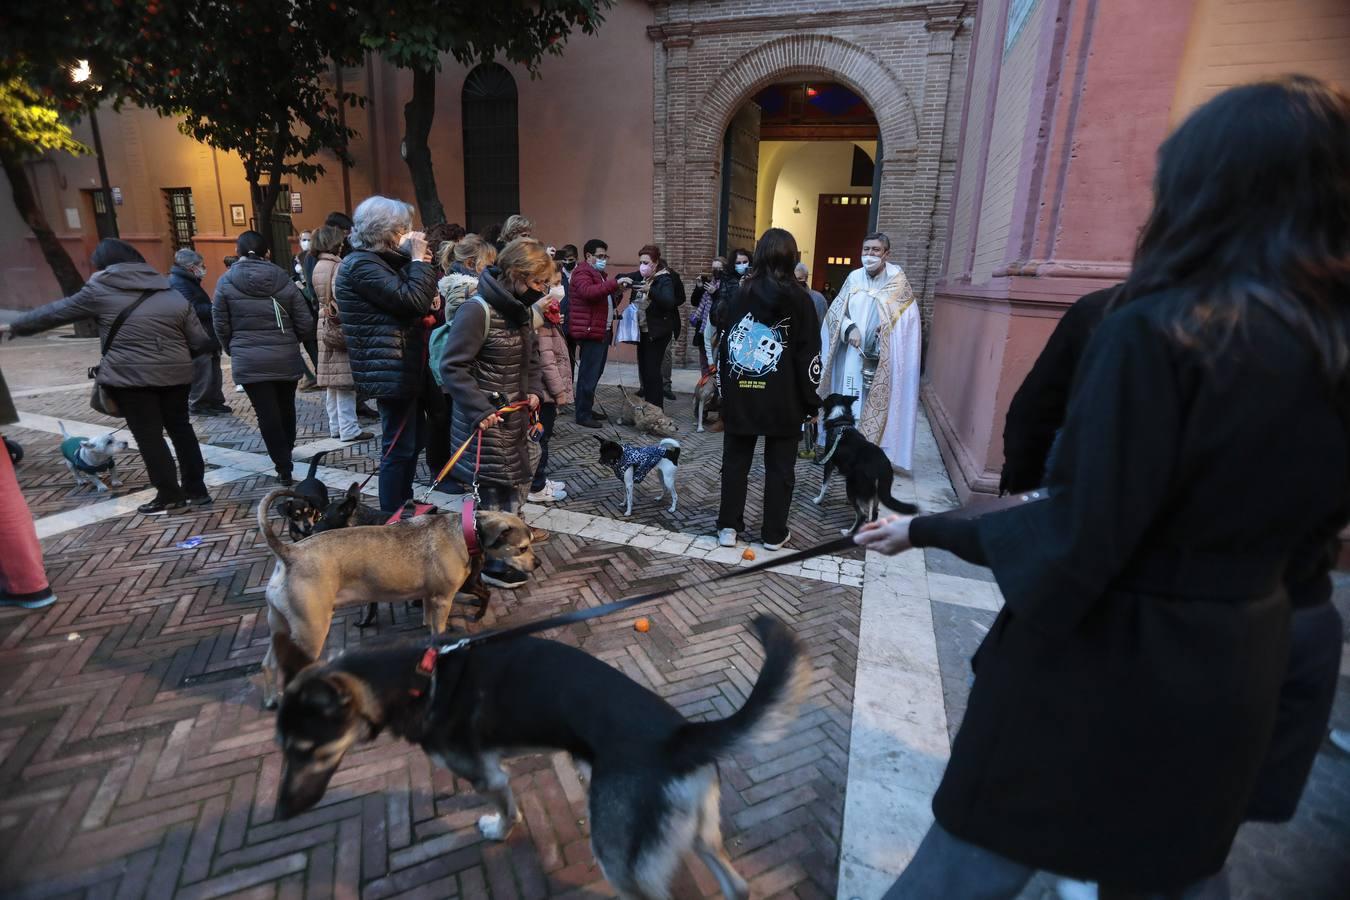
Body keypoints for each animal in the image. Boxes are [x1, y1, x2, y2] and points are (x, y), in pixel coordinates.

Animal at [255, 488, 534, 707]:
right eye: (522, 547)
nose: (538, 563)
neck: (467, 530)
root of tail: (288, 553)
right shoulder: (442, 599)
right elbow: (438, 631)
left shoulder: (431, 597)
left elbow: (429, 623)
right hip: (310, 630)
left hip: (280, 624)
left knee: (268, 664)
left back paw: (271, 698)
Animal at [810, 394, 918, 534]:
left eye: (826, 399)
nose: (818, 400)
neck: (840, 422)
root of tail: (882, 466)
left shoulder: (829, 463)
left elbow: (824, 486)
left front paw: (818, 500)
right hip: (876, 492)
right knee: (874, 514)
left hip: (852, 484)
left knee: (862, 515)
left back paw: (848, 532)